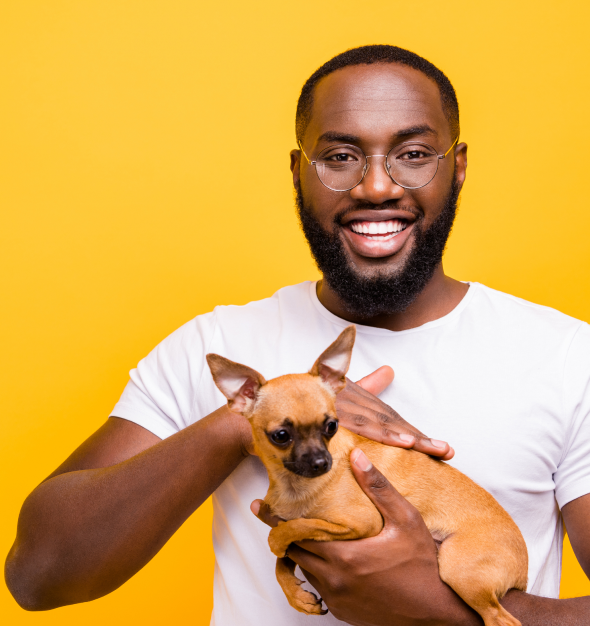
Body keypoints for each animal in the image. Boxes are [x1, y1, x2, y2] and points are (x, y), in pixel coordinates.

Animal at [209, 326, 532, 624]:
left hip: (459, 569)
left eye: (332, 426)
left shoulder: (363, 523)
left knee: (501, 619)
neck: (295, 486)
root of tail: (523, 570)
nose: (321, 463)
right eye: (281, 436)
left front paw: (276, 541)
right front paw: (296, 594)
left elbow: (296, 527)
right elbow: (284, 559)